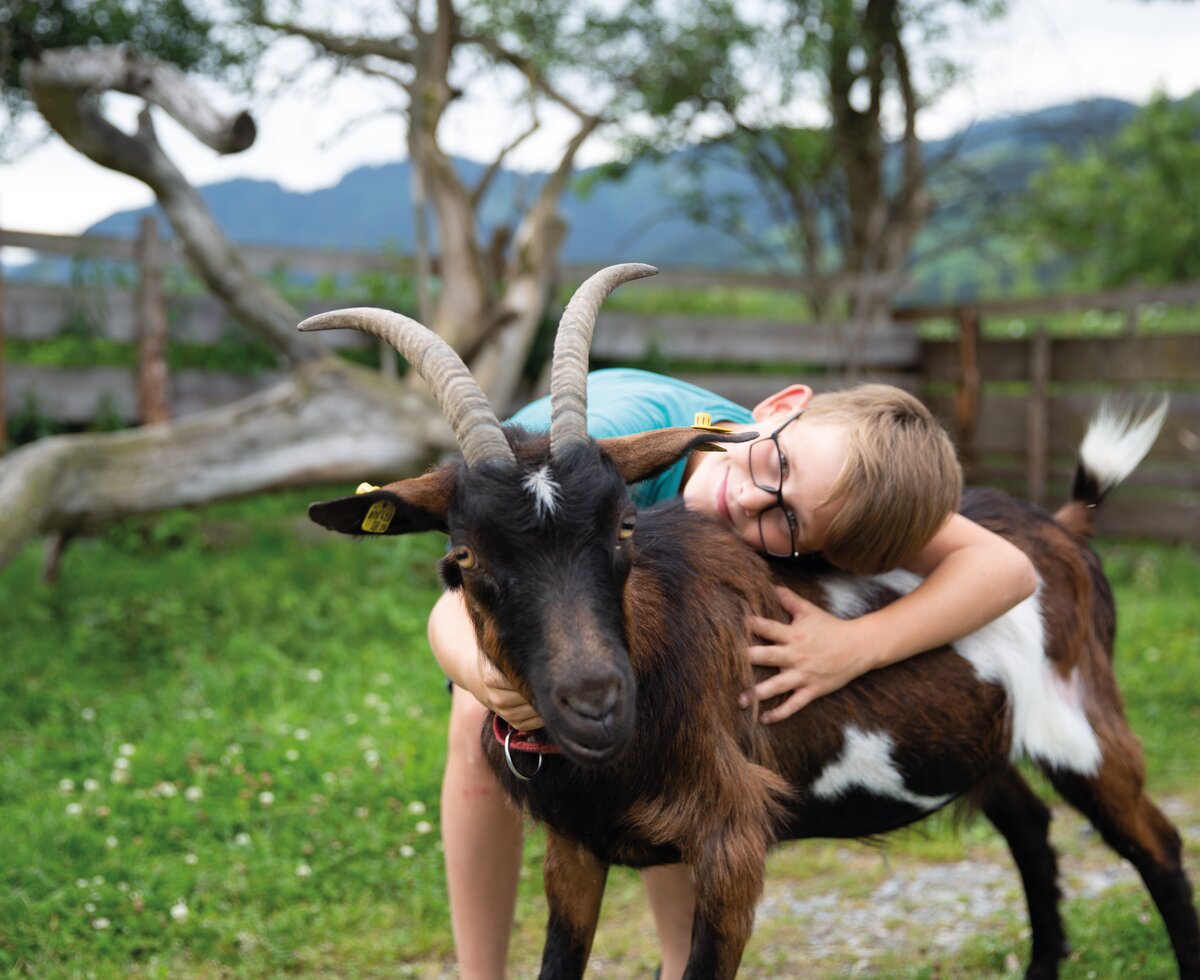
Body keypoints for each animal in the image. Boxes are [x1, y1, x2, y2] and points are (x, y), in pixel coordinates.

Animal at [302, 263, 1200, 974]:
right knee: (1031, 827)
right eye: (463, 560)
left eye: (623, 526)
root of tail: (1065, 527)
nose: (596, 703)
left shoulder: (732, 843)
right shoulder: (575, 848)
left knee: (1156, 845)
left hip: (1082, 721)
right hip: (984, 740)